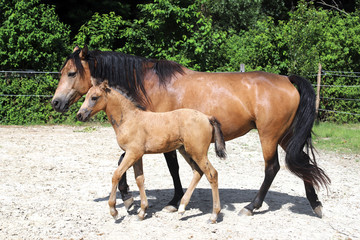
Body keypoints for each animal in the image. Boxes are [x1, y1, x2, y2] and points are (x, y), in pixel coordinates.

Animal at [77, 81, 226, 223]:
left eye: (94, 97)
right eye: (86, 96)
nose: (80, 115)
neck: (129, 119)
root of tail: (207, 117)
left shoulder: (132, 153)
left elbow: (116, 175)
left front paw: (114, 211)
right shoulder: (137, 155)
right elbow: (139, 179)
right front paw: (142, 212)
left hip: (198, 152)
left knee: (212, 174)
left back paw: (213, 215)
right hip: (186, 150)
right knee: (198, 172)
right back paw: (182, 207)